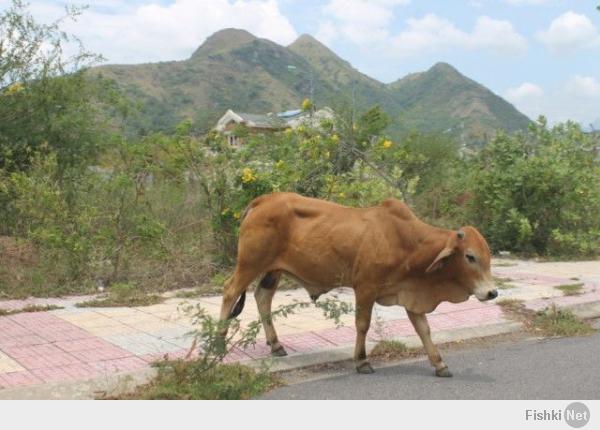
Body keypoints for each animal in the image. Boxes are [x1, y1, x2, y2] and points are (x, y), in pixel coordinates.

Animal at [219, 191, 496, 376]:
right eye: (470, 256)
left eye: (488, 255)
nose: (492, 292)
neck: (407, 243)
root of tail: (261, 200)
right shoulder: (366, 287)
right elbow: (363, 324)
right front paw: (362, 361)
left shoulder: (409, 294)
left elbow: (424, 329)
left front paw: (439, 364)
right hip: (250, 264)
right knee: (230, 292)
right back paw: (219, 343)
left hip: (272, 270)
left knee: (262, 297)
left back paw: (276, 345)